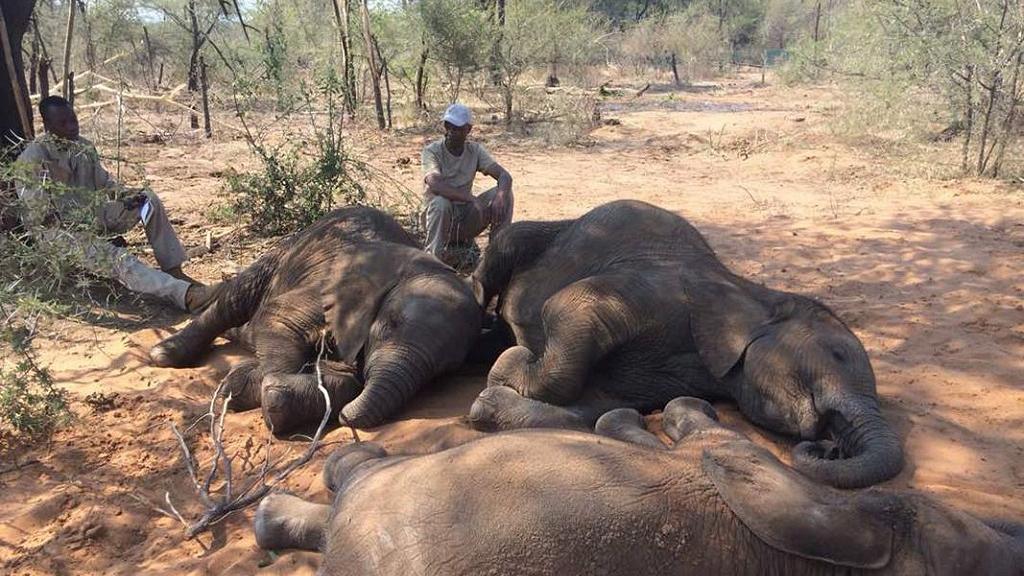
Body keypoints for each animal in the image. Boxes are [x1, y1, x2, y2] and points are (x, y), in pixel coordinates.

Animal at [149, 206, 483, 430]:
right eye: (389, 326)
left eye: (443, 371)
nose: (347, 417)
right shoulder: (326, 288)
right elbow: (279, 318)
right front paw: (250, 387)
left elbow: (348, 379)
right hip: (284, 253)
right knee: (236, 299)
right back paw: (164, 354)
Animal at [468, 199, 901, 485]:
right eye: (837, 354)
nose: (831, 448)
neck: (752, 294)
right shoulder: (662, 291)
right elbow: (568, 306)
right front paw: (512, 361)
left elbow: (596, 404)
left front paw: (492, 398)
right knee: (502, 250)